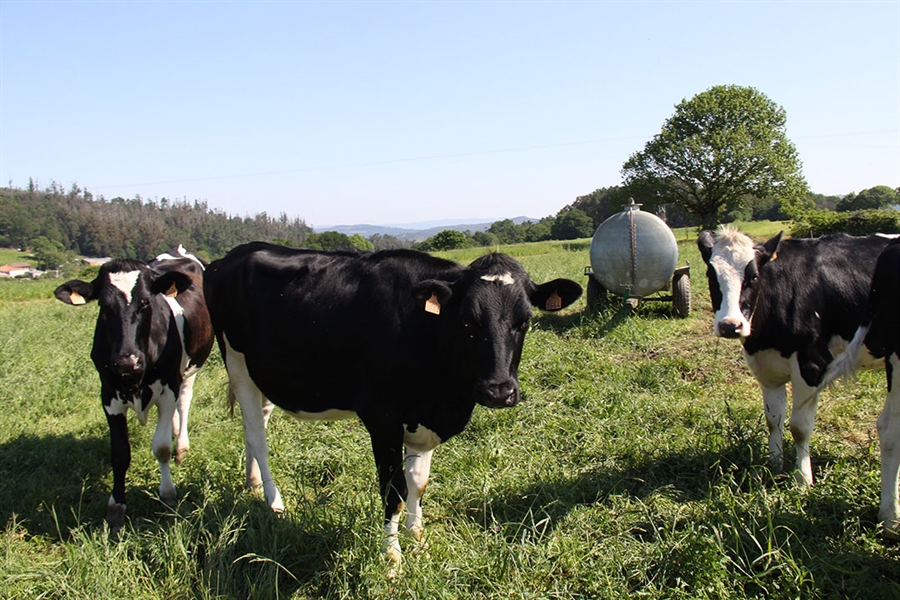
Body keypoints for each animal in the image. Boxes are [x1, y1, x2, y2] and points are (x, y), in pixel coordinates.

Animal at [54, 246, 213, 532]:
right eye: (103, 306)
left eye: (146, 303)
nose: (128, 360)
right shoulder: (108, 396)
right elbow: (119, 454)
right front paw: (116, 508)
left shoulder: (168, 388)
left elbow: (161, 447)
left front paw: (168, 494)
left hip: (189, 369)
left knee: (184, 402)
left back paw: (181, 447)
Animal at [204, 243, 584, 568]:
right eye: (468, 321)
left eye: (525, 321)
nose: (498, 391)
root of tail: (235, 254)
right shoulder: (382, 418)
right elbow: (394, 489)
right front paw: (392, 558)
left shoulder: (425, 417)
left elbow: (418, 481)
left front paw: (418, 537)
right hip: (237, 362)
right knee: (257, 437)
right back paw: (274, 502)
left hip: (263, 374)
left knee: (255, 427)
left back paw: (253, 485)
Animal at [696, 227, 892, 486]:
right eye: (711, 274)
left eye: (754, 276)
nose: (730, 326)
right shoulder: (767, 368)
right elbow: (773, 420)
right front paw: (773, 465)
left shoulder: (812, 364)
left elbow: (800, 427)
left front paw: (803, 479)